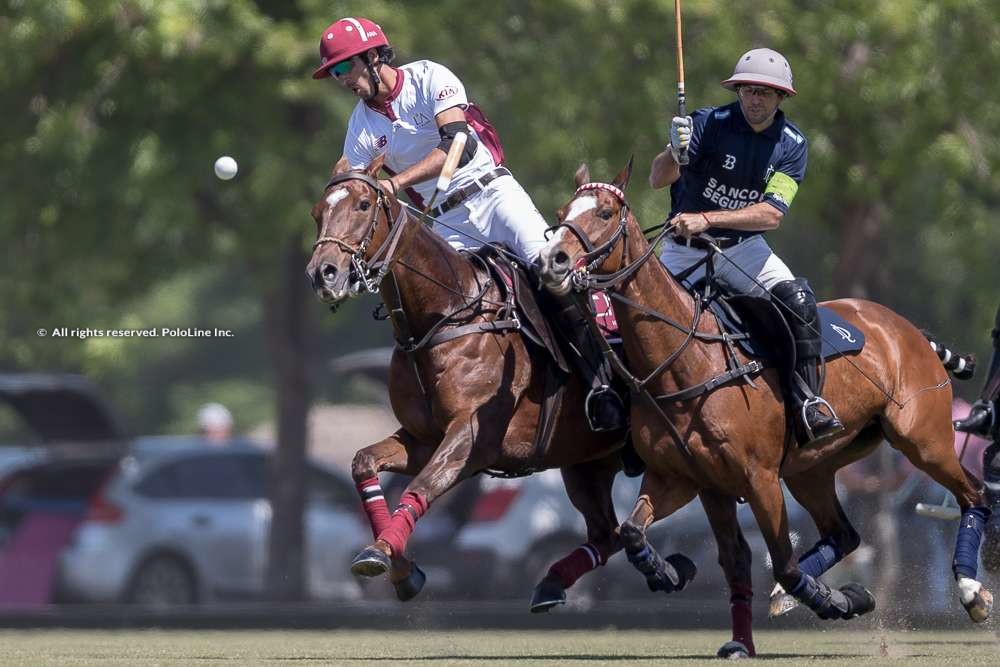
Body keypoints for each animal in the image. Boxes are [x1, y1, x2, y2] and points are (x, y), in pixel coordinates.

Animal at [536, 160, 988, 640]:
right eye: (563, 211)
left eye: (604, 213)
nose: (551, 261)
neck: (687, 356)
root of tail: (907, 328)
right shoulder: (682, 478)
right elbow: (635, 533)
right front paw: (671, 572)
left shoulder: (761, 479)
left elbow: (783, 563)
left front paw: (829, 599)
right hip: (813, 466)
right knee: (843, 533)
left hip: (923, 440)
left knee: (974, 494)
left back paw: (972, 593)